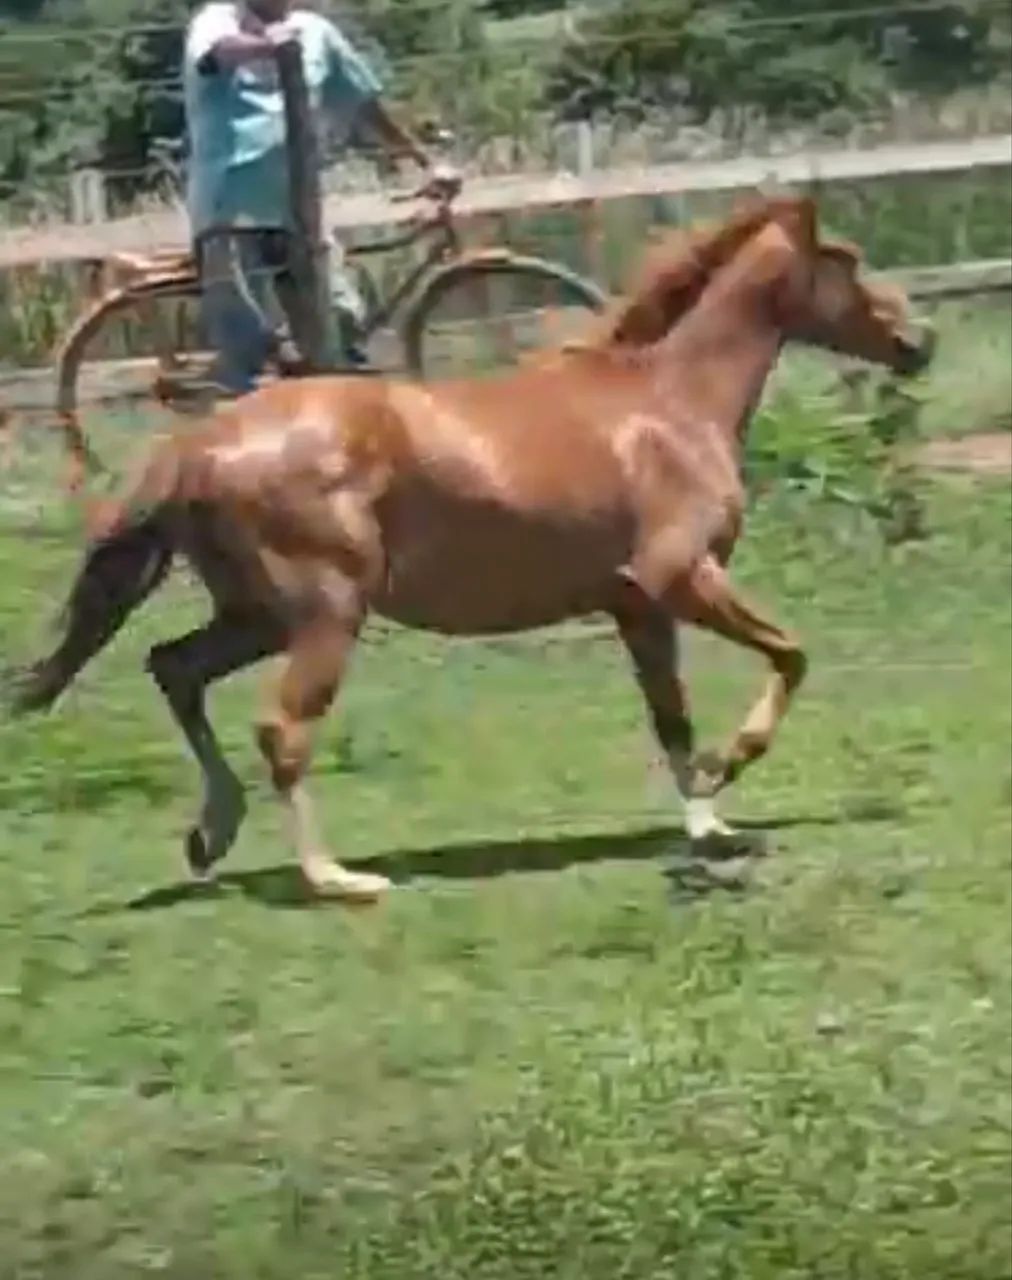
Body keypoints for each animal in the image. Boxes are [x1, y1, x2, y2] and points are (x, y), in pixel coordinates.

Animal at [4, 196, 934, 902]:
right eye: (846, 258)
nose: (919, 340)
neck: (669, 405)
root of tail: (192, 446)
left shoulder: (637, 605)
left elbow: (670, 714)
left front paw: (709, 818)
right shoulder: (680, 576)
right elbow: (791, 654)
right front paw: (732, 765)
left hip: (259, 613)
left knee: (174, 666)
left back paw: (212, 836)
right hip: (325, 613)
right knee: (280, 728)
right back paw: (336, 878)